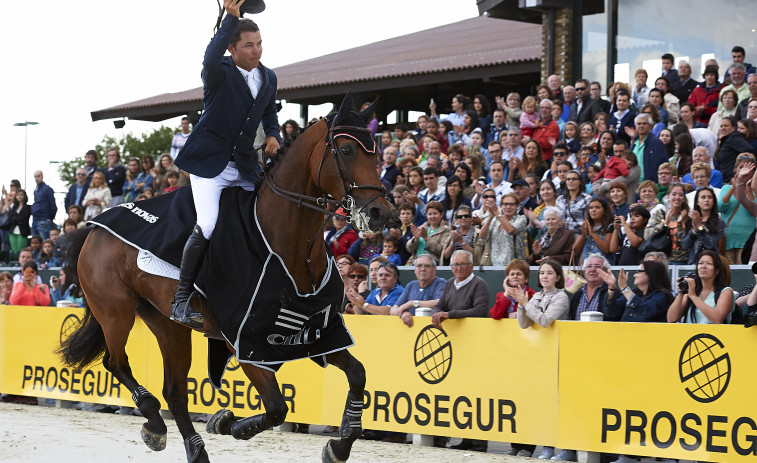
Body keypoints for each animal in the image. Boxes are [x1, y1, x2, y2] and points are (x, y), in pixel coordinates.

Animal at [56, 95, 392, 463]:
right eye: (346, 150)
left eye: (376, 151)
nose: (382, 213)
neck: (288, 242)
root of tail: (91, 229)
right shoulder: (245, 343)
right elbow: (277, 408)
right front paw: (226, 422)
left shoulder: (316, 334)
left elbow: (357, 375)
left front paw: (340, 444)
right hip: (115, 311)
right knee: (116, 362)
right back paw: (154, 419)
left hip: (166, 323)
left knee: (174, 390)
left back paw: (189, 446)